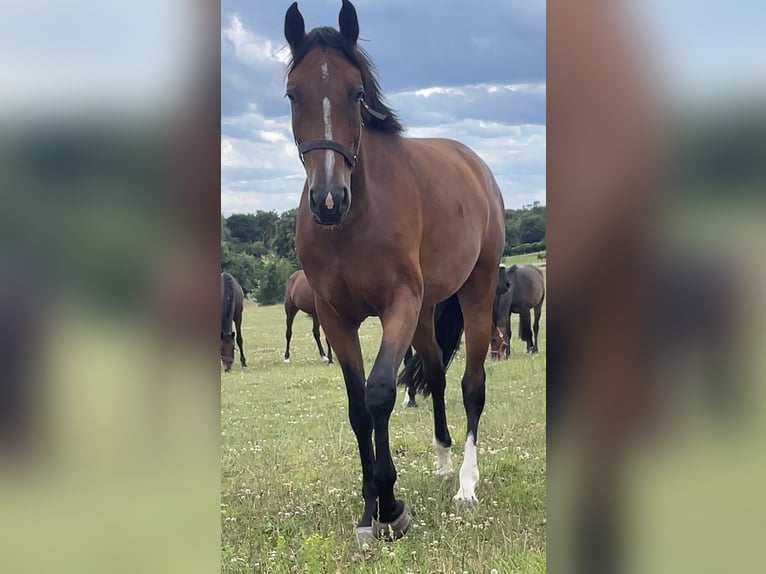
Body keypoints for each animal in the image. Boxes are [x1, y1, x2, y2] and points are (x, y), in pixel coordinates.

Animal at [284, 0, 508, 544]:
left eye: (357, 92)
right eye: (293, 94)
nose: (327, 200)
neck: (354, 220)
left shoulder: (398, 305)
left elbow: (380, 392)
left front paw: (390, 505)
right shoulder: (335, 317)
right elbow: (357, 407)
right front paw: (370, 506)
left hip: (476, 292)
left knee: (471, 385)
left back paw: (466, 483)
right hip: (427, 312)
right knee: (437, 375)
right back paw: (443, 461)